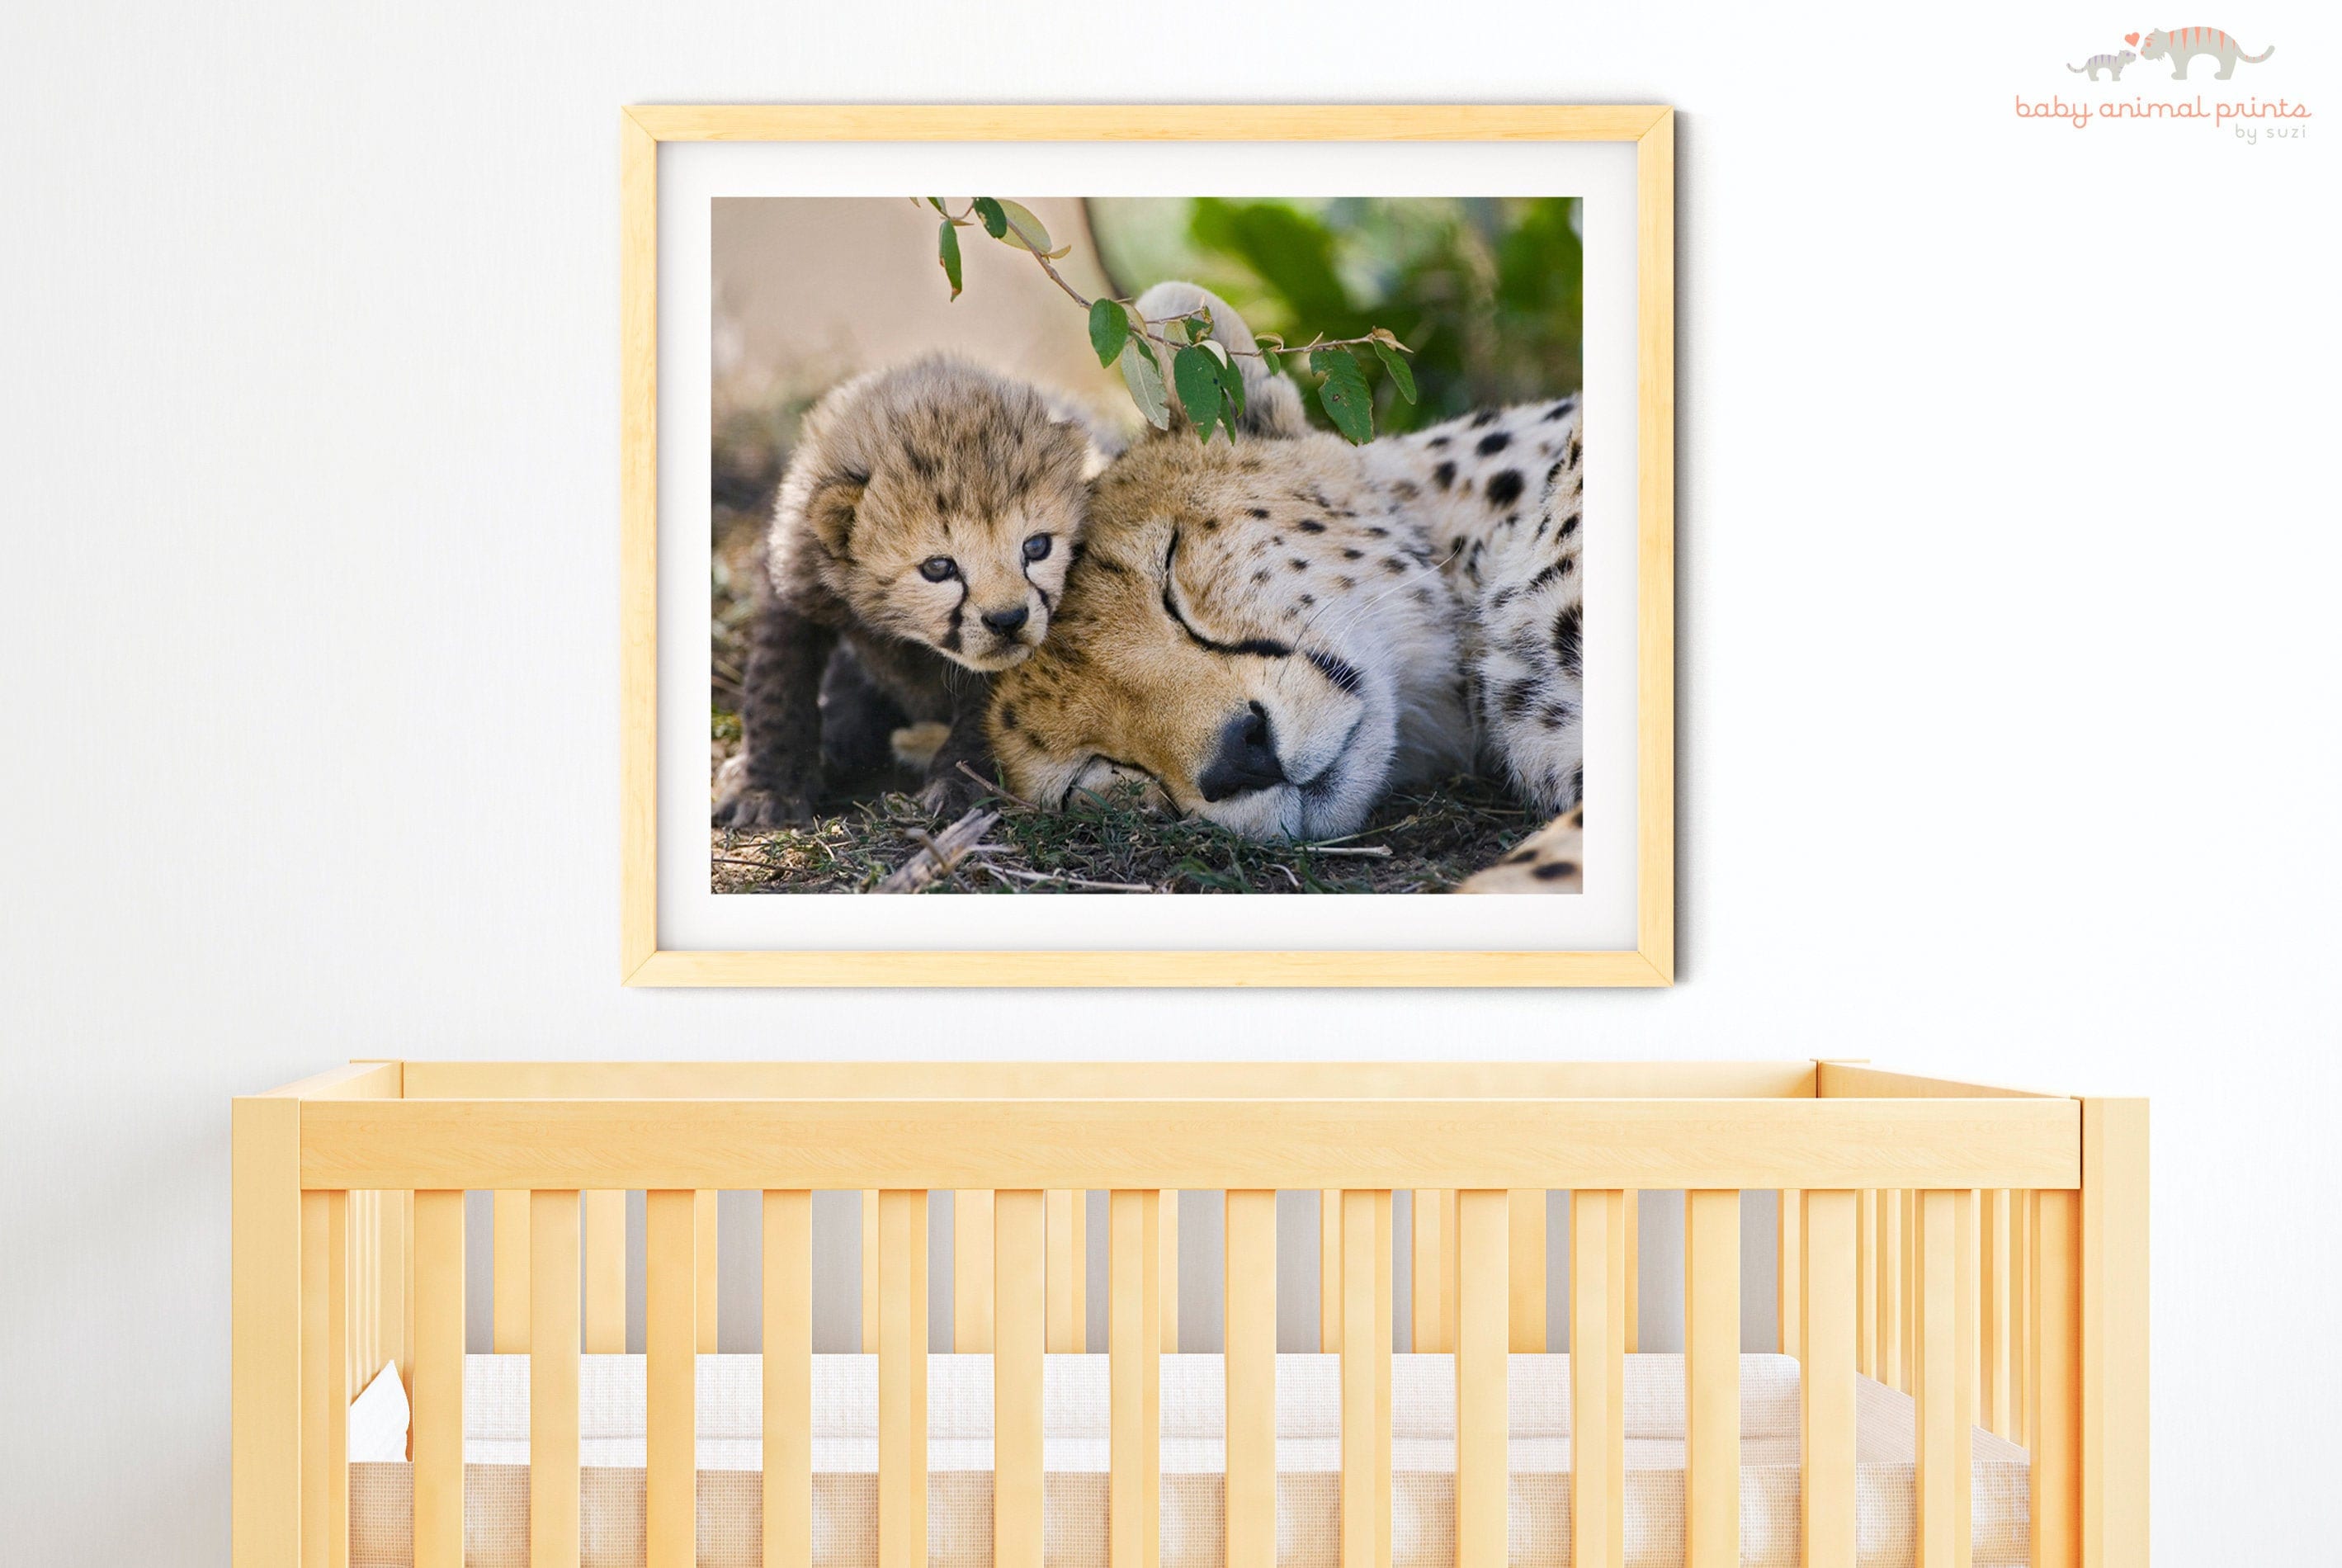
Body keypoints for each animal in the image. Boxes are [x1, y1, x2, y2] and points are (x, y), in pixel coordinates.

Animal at [713, 356, 1097, 829]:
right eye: (938, 567)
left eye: (1036, 546)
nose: (1008, 620)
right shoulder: (793, 581)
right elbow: (776, 687)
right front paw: (768, 787)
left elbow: (987, 711)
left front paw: (959, 785)